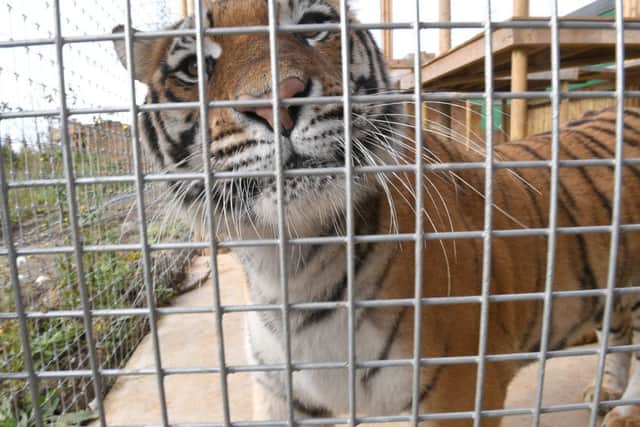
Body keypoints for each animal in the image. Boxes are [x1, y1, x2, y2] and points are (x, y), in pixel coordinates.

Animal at [111, 0, 640, 425]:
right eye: (192, 67)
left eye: (312, 26)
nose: (277, 101)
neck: (289, 265)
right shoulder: (282, 393)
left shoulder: (458, 392)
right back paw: (606, 391)